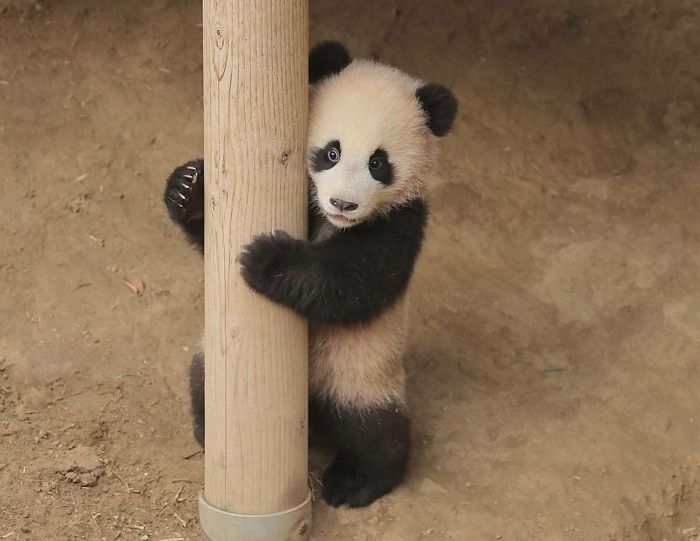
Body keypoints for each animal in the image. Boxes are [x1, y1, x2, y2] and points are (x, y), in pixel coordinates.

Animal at [164, 41, 460, 506]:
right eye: (331, 152)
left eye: (379, 163)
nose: (343, 203)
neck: (332, 222)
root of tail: (315, 421)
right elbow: (211, 241)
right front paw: (187, 189)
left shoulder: (402, 221)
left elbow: (350, 283)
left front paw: (267, 259)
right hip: (213, 356)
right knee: (203, 378)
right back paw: (206, 428)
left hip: (360, 373)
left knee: (375, 431)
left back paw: (355, 481)